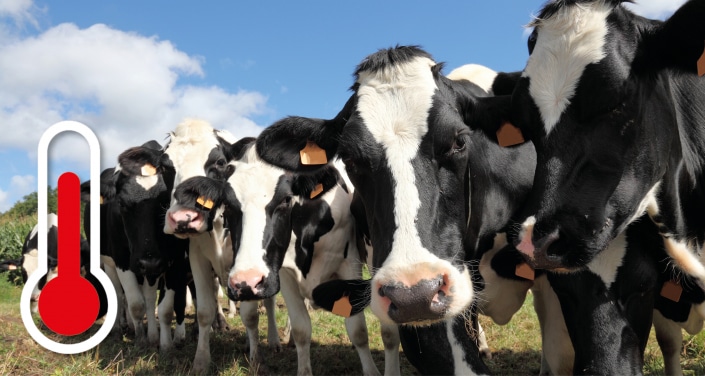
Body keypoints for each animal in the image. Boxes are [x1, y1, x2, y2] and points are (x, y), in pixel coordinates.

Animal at [161, 120, 280, 374]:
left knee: (269, 301)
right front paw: (201, 361)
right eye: (166, 166)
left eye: (219, 162)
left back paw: (273, 340)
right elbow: (205, 310)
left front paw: (256, 359)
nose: (183, 218)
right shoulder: (197, 258)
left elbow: (251, 315)